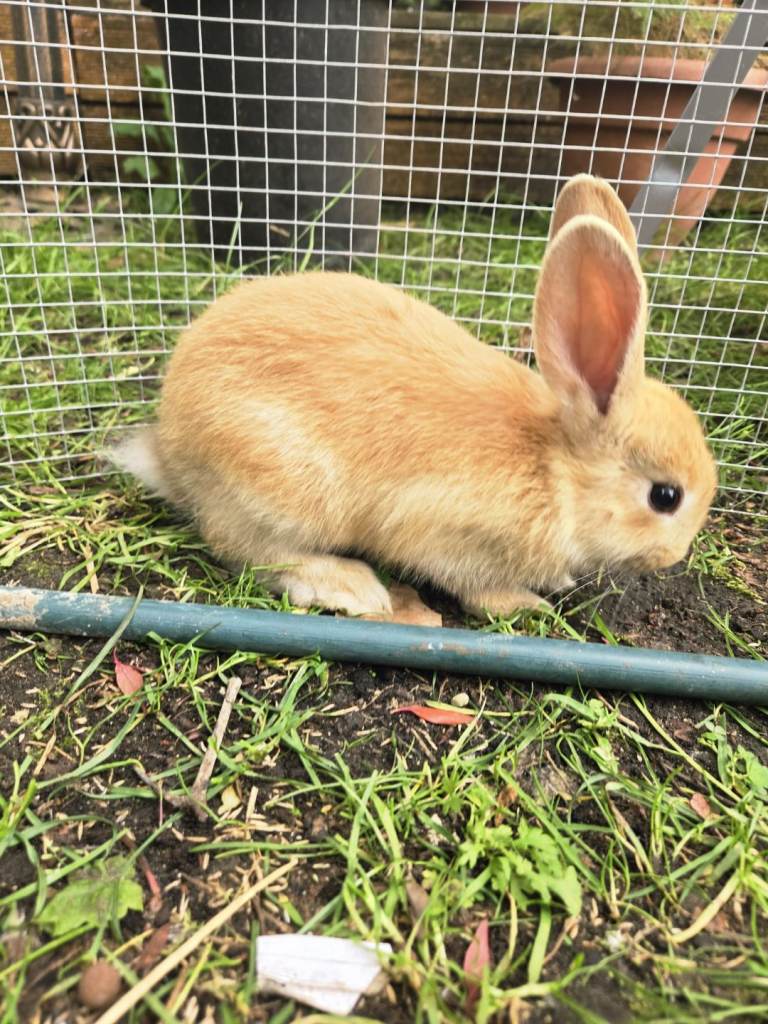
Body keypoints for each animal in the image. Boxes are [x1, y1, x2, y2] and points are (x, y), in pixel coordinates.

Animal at [110, 175, 717, 617]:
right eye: (665, 497)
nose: (676, 555)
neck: (554, 470)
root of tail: (170, 447)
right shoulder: (449, 534)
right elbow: (472, 584)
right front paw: (526, 605)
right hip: (282, 489)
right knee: (243, 546)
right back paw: (350, 587)